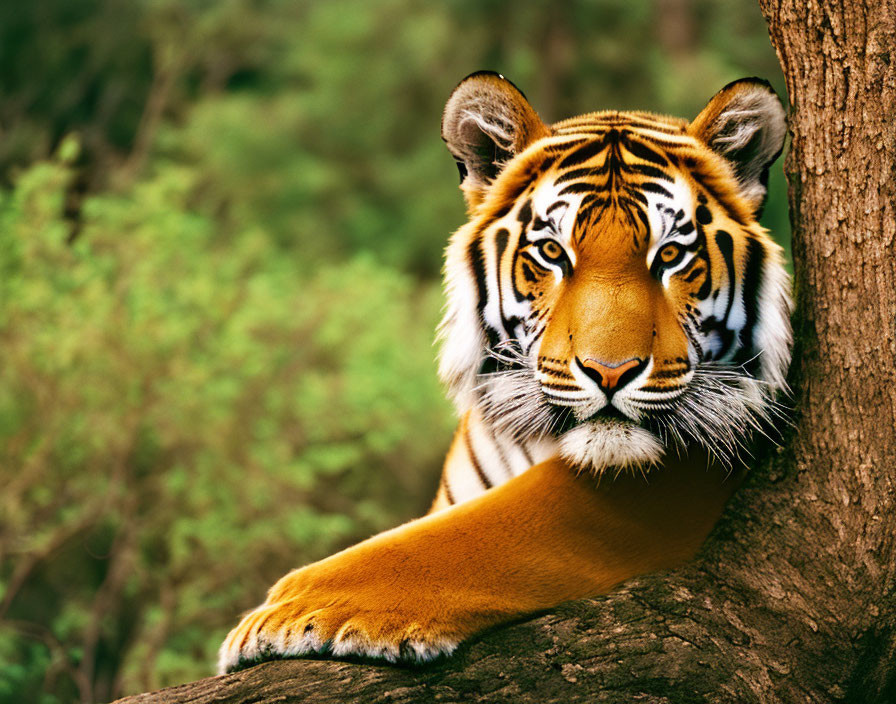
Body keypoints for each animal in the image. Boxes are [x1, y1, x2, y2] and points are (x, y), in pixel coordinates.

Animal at [217, 73, 792, 676]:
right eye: (552, 252)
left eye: (672, 255)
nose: (611, 372)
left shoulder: (656, 494)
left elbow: (453, 540)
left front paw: (286, 610)